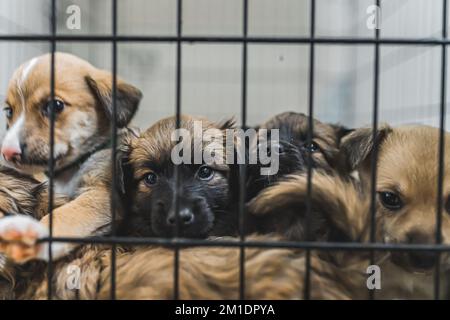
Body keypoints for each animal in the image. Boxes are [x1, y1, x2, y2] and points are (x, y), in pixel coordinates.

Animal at [0, 52, 142, 262]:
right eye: (9, 111)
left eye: (54, 105)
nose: (8, 152)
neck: (68, 171)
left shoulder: (102, 195)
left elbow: (64, 215)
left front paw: (34, 234)